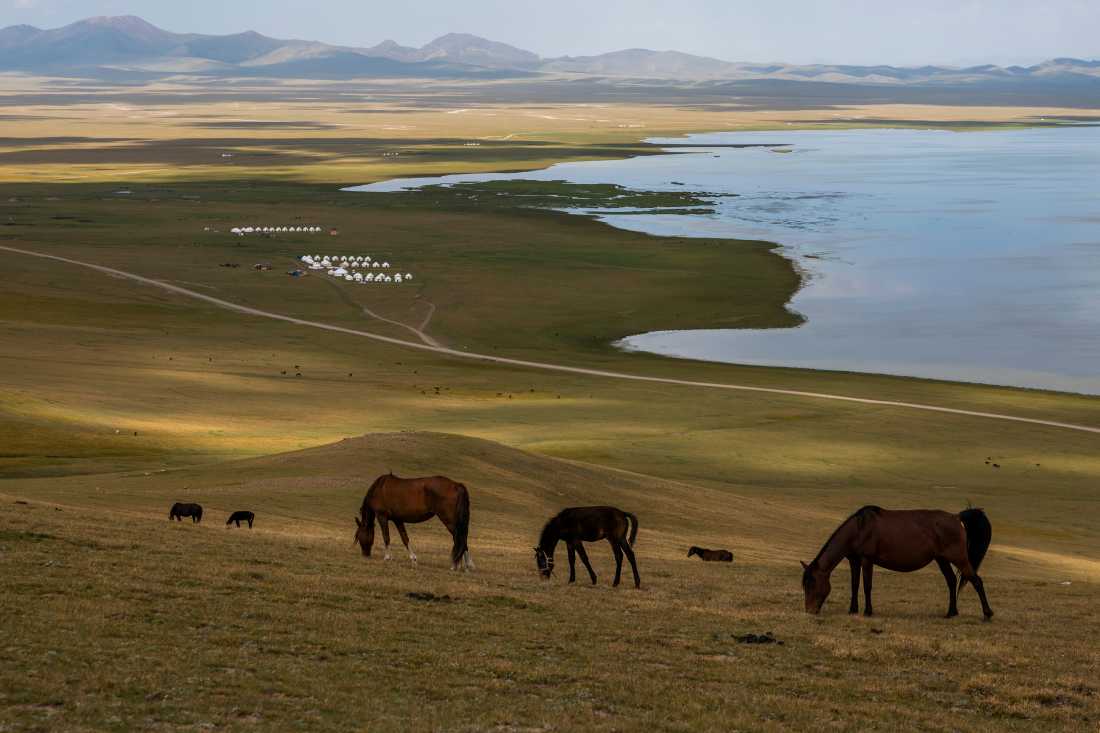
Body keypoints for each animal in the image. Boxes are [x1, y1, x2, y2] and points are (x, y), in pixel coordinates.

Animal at [801, 506, 993, 619]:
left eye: (812, 583)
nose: (809, 611)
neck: (859, 529)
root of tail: (956, 517)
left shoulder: (867, 559)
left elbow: (867, 586)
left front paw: (868, 611)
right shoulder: (854, 560)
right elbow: (854, 585)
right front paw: (852, 609)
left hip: (958, 558)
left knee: (976, 581)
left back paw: (987, 614)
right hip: (942, 559)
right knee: (952, 581)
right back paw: (951, 612)